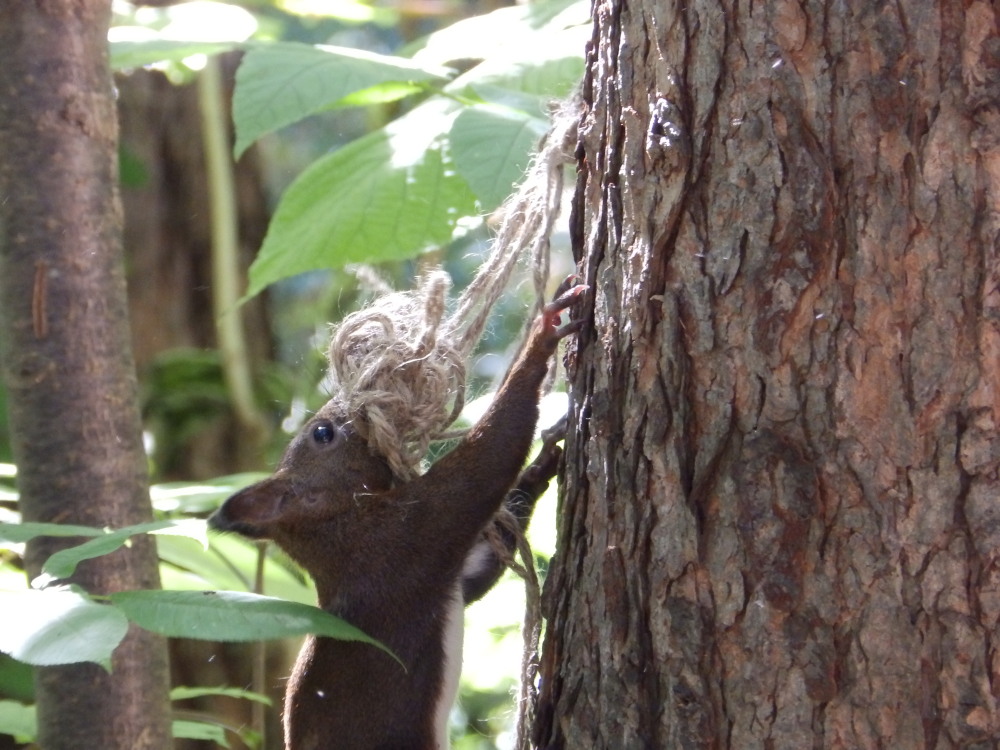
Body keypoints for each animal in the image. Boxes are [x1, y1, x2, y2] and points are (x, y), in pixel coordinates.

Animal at [211, 284, 584, 750]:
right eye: (323, 433)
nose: (350, 398)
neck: (339, 524)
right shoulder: (411, 537)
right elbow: (489, 460)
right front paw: (544, 333)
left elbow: (479, 570)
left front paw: (541, 469)